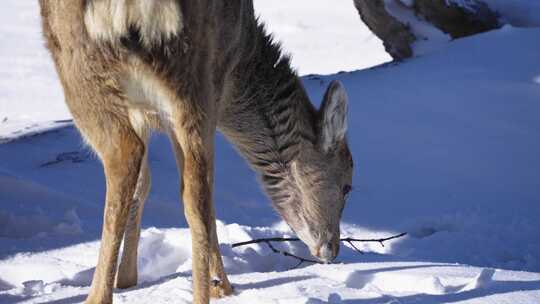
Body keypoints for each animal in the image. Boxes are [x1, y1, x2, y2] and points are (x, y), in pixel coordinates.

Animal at [40, 1, 354, 302]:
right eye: (347, 185)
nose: (332, 249)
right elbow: (147, 185)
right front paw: (128, 279)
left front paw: (125, 279)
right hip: (190, 79)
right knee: (197, 194)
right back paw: (215, 287)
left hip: (85, 63)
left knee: (127, 156)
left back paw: (97, 296)